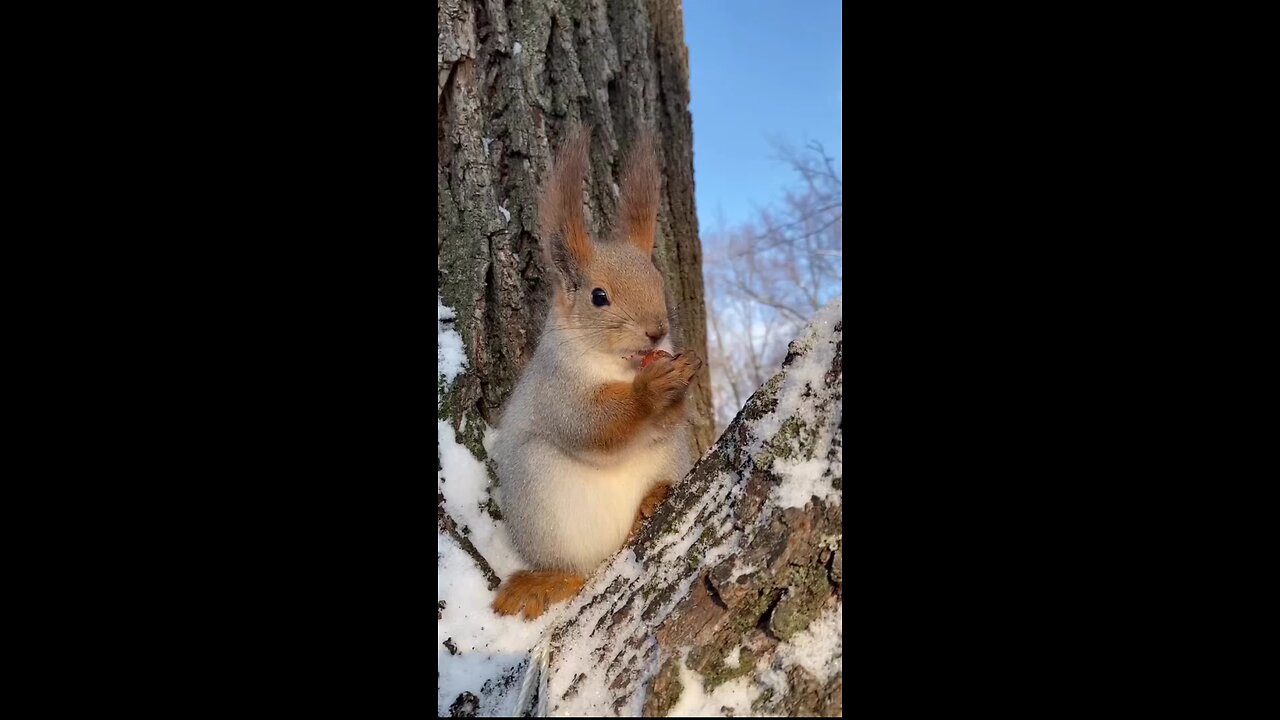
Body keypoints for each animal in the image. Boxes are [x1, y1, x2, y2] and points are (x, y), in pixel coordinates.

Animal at [491, 127, 701, 617]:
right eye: (598, 297)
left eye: (658, 281)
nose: (657, 331)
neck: (621, 368)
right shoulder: (557, 387)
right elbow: (592, 425)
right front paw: (650, 393)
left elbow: (668, 421)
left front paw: (680, 382)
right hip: (548, 502)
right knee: (576, 569)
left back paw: (651, 501)